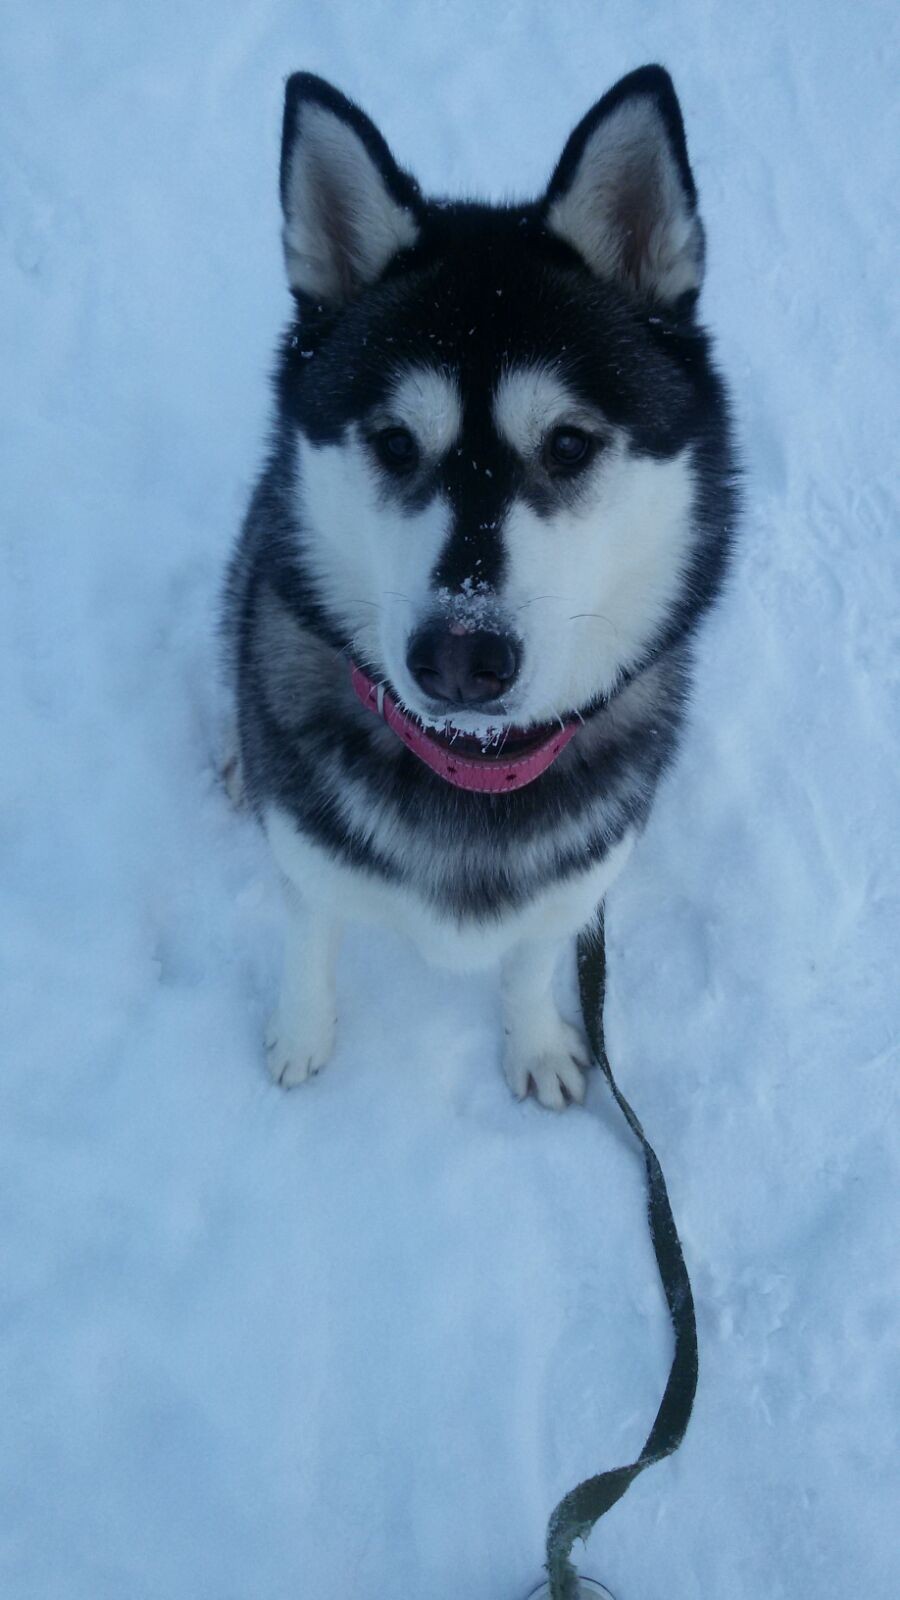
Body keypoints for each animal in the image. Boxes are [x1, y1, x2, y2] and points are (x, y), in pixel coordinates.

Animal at [220, 65, 733, 1113]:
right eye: (393, 443)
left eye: (569, 444)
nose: (462, 659)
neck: (473, 763)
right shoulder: (304, 855)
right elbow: (310, 941)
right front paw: (302, 1036)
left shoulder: (577, 885)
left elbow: (529, 964)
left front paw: (533, 1043)